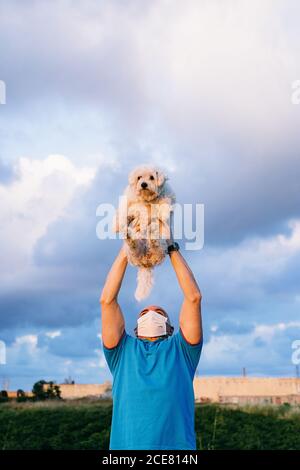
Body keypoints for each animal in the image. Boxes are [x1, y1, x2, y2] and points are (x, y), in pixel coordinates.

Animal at [114, 163, 176, 300]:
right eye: (139, 177)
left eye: (152, 177)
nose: (143, 184)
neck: (146, 198)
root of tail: (145, 263)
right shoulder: (129, 201)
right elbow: (127, 210)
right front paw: (117, 225)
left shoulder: (167, 196)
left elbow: (165, 203)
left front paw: (163, 213)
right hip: (133, 251)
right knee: (133, 245)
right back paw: (129, 235)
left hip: (161, 247)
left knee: (156, 244)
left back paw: (152, 233)